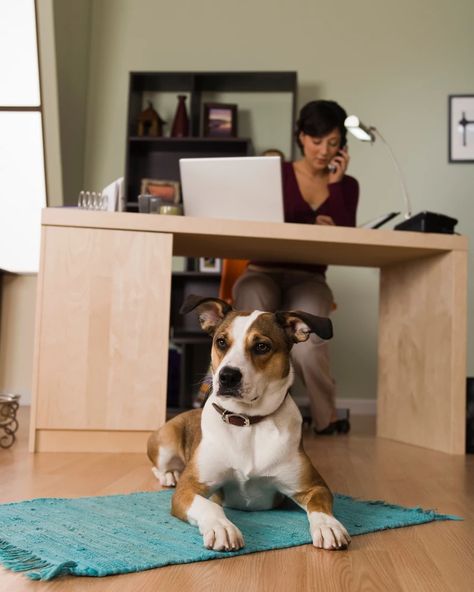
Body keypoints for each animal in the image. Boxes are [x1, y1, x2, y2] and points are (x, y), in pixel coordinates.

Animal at [148, 294, 352, 552]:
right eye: (221, 342)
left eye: (261, 346)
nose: (227, 376)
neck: (246, 421)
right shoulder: (189, 488)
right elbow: (209, 505)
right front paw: (222, 527)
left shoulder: (314, 486)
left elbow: (319, 506)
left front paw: (328, 525)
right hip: (165, 441)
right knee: (160, 466)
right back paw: (170, 475)